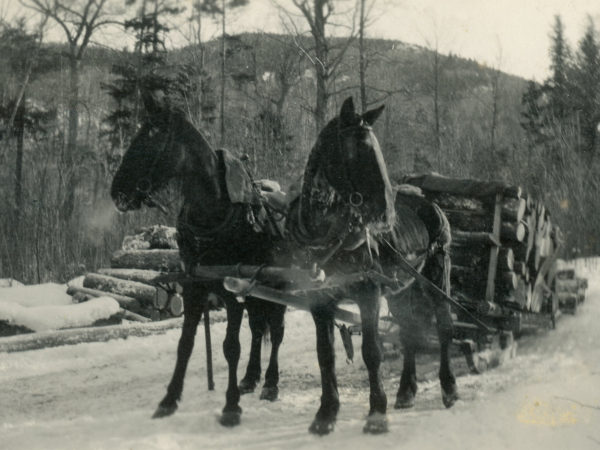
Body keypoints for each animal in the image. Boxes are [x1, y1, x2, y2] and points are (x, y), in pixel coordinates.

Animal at [112, 92, 286, 426]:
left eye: (150, 137)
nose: (118, 192)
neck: (213, 212)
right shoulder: (194, 286)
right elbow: (185, 344)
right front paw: (168, 400)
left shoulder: (231, 289)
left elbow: (231, 347)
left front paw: (230, 406)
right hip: (255, 292)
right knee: (259, 328)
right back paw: (250, 377)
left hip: (279, 287)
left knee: (277, 330)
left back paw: (270, 383)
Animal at [288, 96, 458, 434]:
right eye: (358, 150)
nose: (386, 212)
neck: (328, 238)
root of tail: (430, 203)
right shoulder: (319, 300)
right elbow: (325, 355)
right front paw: (326, 414)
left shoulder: (368, 293)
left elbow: (371, 352)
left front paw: (377, 413)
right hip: (402, 289)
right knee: (409, 331)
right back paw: (406, 391)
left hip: (436, 276)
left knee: (444, 326)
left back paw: (448, 388)